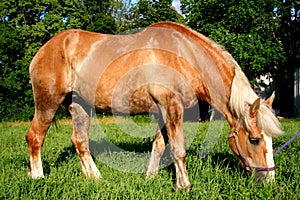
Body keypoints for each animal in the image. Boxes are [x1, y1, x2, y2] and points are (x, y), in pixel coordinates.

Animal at [25, 21, 284, 189]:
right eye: (254, 139)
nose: (270, 182)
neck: (185, 55)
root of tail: (44, 50)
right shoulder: (171, 106)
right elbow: (178, 149)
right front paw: (184, 186)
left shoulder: (162, 112)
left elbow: (159, 146)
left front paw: (150, 177)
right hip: (48, 102)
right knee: (35, 136)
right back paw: (38, 177)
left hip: (79, 105)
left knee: (80, 141)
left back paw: (94, 178)